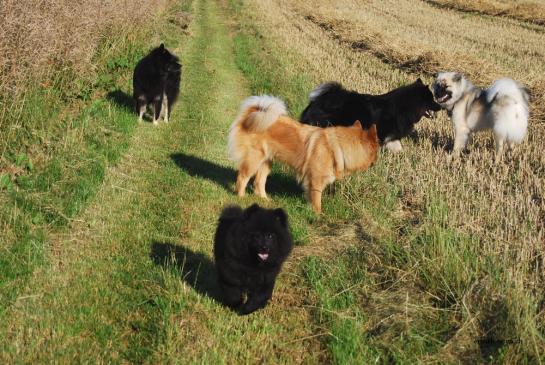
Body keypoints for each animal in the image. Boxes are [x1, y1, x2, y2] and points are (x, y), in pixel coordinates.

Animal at [226, 95, 378, 212]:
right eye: (375, 152)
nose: (376, 161)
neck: (339, 147)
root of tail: (251, 113)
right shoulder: (316, 180)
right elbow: (317, 201)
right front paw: (318, 215)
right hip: (254, 158)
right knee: (242, 177)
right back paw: (241, 197)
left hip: (267, 161)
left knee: (259, 181)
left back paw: (264, 199)